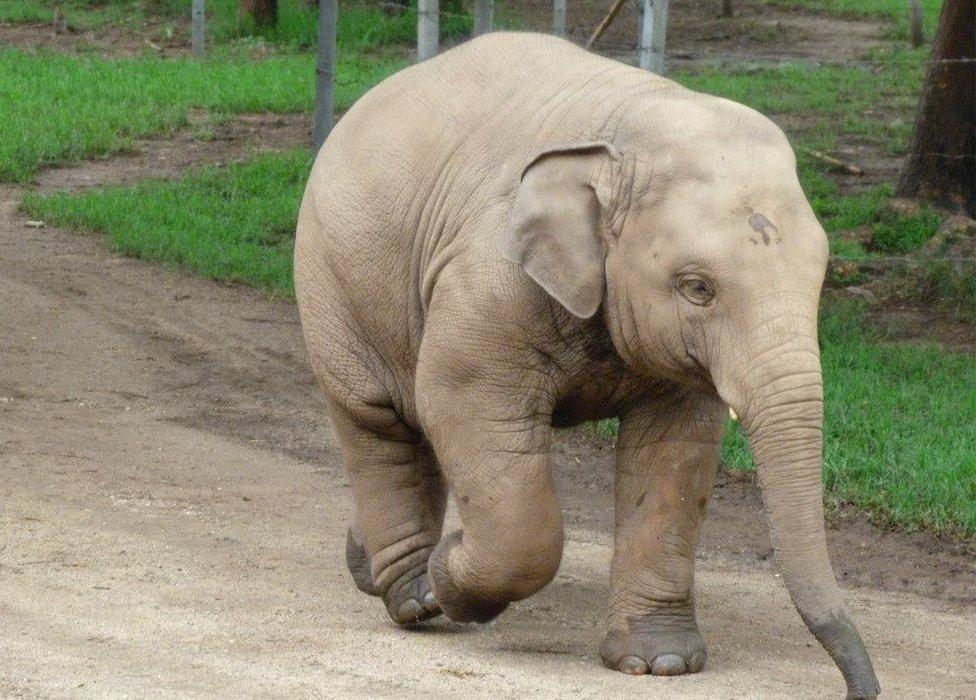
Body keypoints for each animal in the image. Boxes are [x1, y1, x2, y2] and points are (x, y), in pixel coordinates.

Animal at [294, 32, 880, 700]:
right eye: (697, 288)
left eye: (821, 280)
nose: (863, 688)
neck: (627, 135)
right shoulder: (487, 278)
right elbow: (458, 405)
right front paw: (451, 577)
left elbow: (676, 453)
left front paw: (660, 664)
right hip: (332, 280)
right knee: (379, 422)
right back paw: (416, 598)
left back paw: (368, 565)